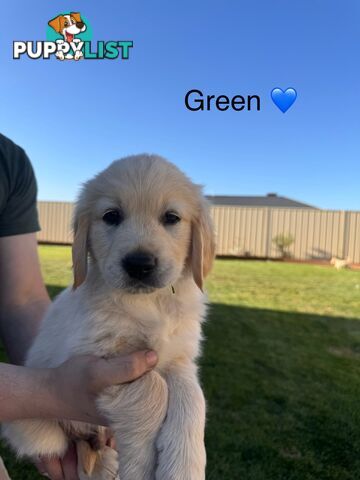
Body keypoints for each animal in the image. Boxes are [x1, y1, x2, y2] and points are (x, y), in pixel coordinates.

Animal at [2, 156, 214, 478]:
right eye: (111, 216)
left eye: (171, 217)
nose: (139, 264)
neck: (149, 302)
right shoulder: (101, 357)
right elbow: (153, 388)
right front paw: (139, 469)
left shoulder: (178, 357)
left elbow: (192, 396)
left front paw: (183, 466)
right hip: (41, 431)